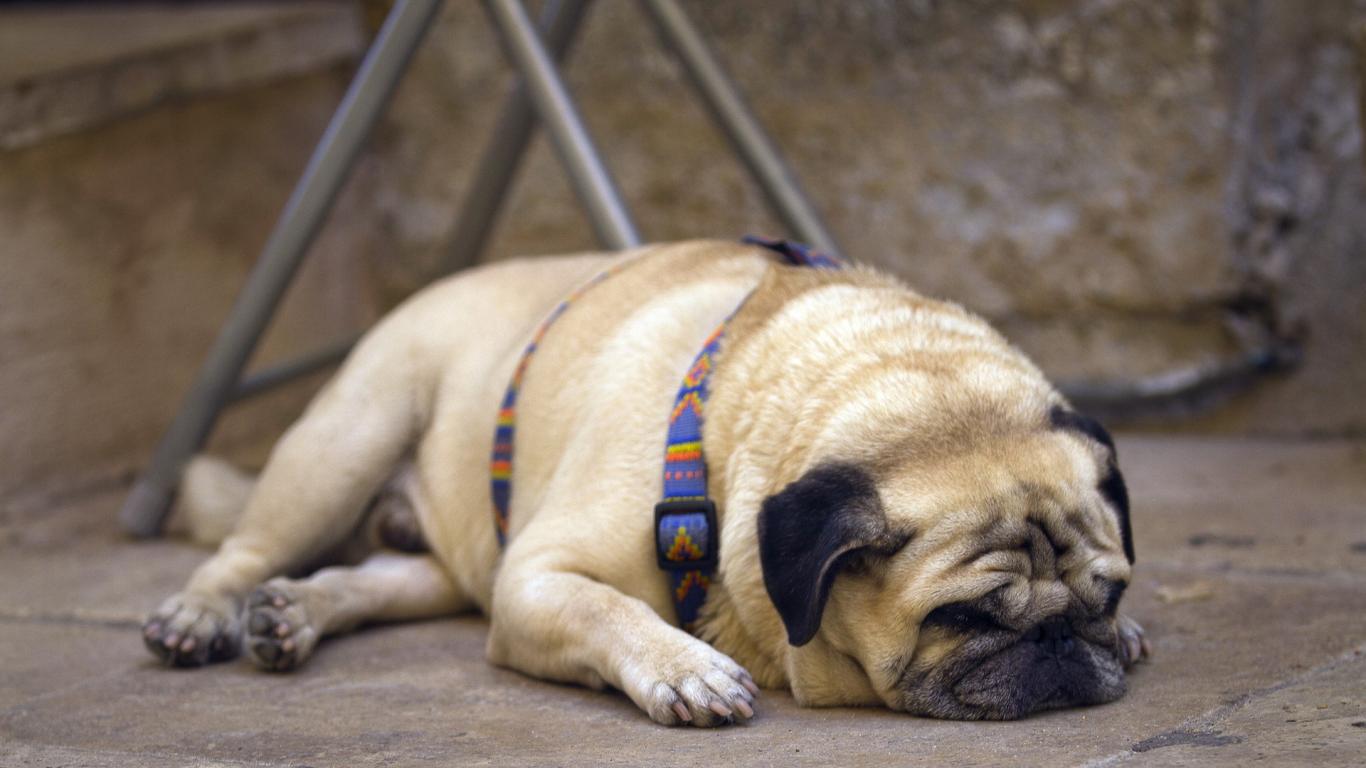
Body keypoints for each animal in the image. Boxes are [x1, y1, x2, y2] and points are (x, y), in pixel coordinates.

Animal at [142, 239, 1148, 725]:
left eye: (1105, 595)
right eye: (963, 617)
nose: (1062, 639)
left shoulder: (510, 578)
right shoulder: (536, 580)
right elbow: (610, 609)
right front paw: (684, 669)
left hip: (449, 558)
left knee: (378, 580)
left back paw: (295, 615)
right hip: (347, 442)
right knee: (244, 550)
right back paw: (203, 614)